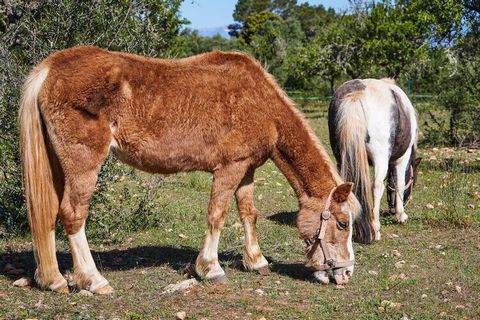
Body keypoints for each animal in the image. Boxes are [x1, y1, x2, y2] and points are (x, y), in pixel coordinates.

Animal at [20, 46, 362, 294]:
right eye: (343, 223)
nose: (346, 273)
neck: (260, 102)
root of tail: (50, 68)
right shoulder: (229, 169)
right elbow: (217, 215)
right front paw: (210, 268)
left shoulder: (246, 171)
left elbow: (248, 214)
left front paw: (256, 261)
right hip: (84, 165)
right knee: (73, 215)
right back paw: (94, 280)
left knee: (48, 214)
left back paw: (54, 280)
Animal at [328, 78, 422, 242]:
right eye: (413, 181)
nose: (391, 210)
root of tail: (358, 92)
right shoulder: (402, 158)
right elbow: (399, 184)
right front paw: (401, 215)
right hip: (380, 157)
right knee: (377, 186)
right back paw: (375, 228)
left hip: (341, 156)